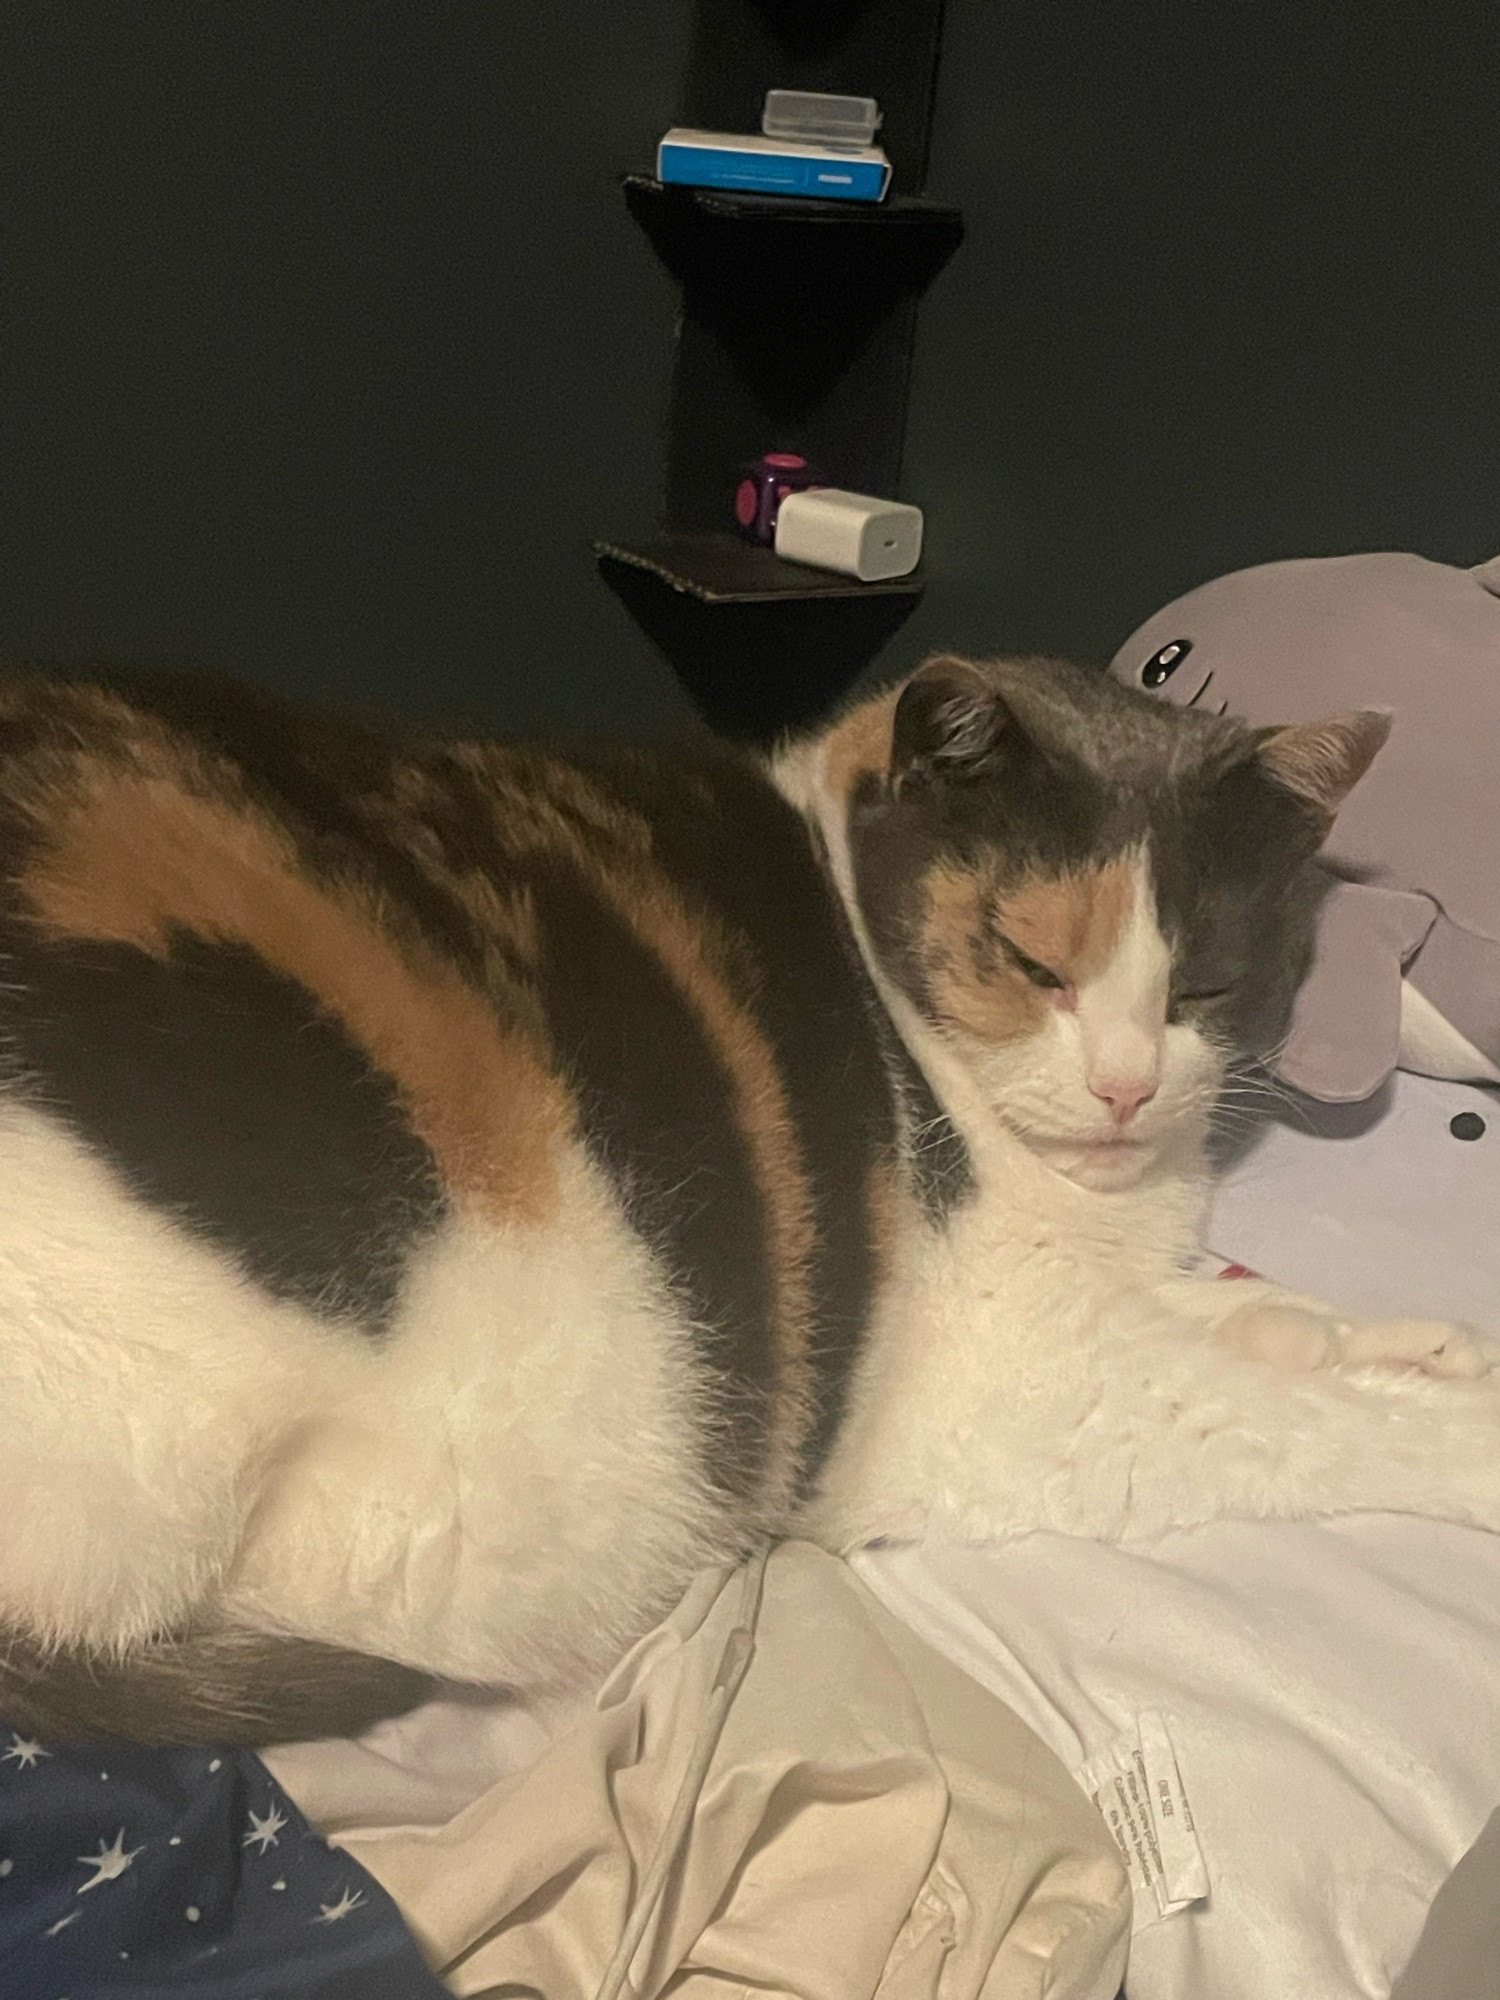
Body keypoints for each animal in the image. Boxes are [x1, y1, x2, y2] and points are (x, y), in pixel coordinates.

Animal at [0, 652, 1496, 1736]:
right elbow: (1285, 1413)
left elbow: (1266, 1322)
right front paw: (1451, 1417)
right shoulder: (1016, 1391)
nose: (1128, 1087)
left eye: (1208, 984)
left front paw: (1418, 1343)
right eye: (1031, 964)